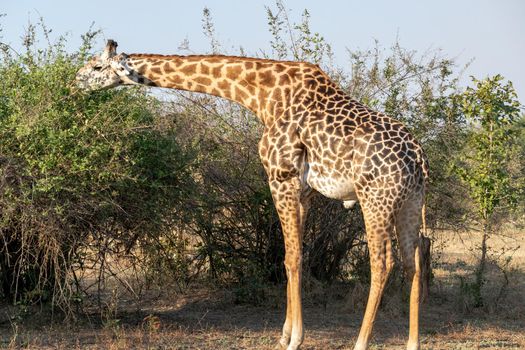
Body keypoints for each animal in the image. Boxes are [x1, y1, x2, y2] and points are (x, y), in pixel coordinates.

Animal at [75, 40, 428, 350]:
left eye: (96, 66)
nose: (74, 82)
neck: (264, 95)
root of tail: (418, 159)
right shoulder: (303, 191)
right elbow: (293, 256)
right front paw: (284, 335)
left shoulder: (280, 178)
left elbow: (291, 257)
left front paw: (295, 339)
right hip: (410, 202)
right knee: (413, 262)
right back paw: (412, 342)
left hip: (375, 199)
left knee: (383, 262)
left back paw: (360, 342)